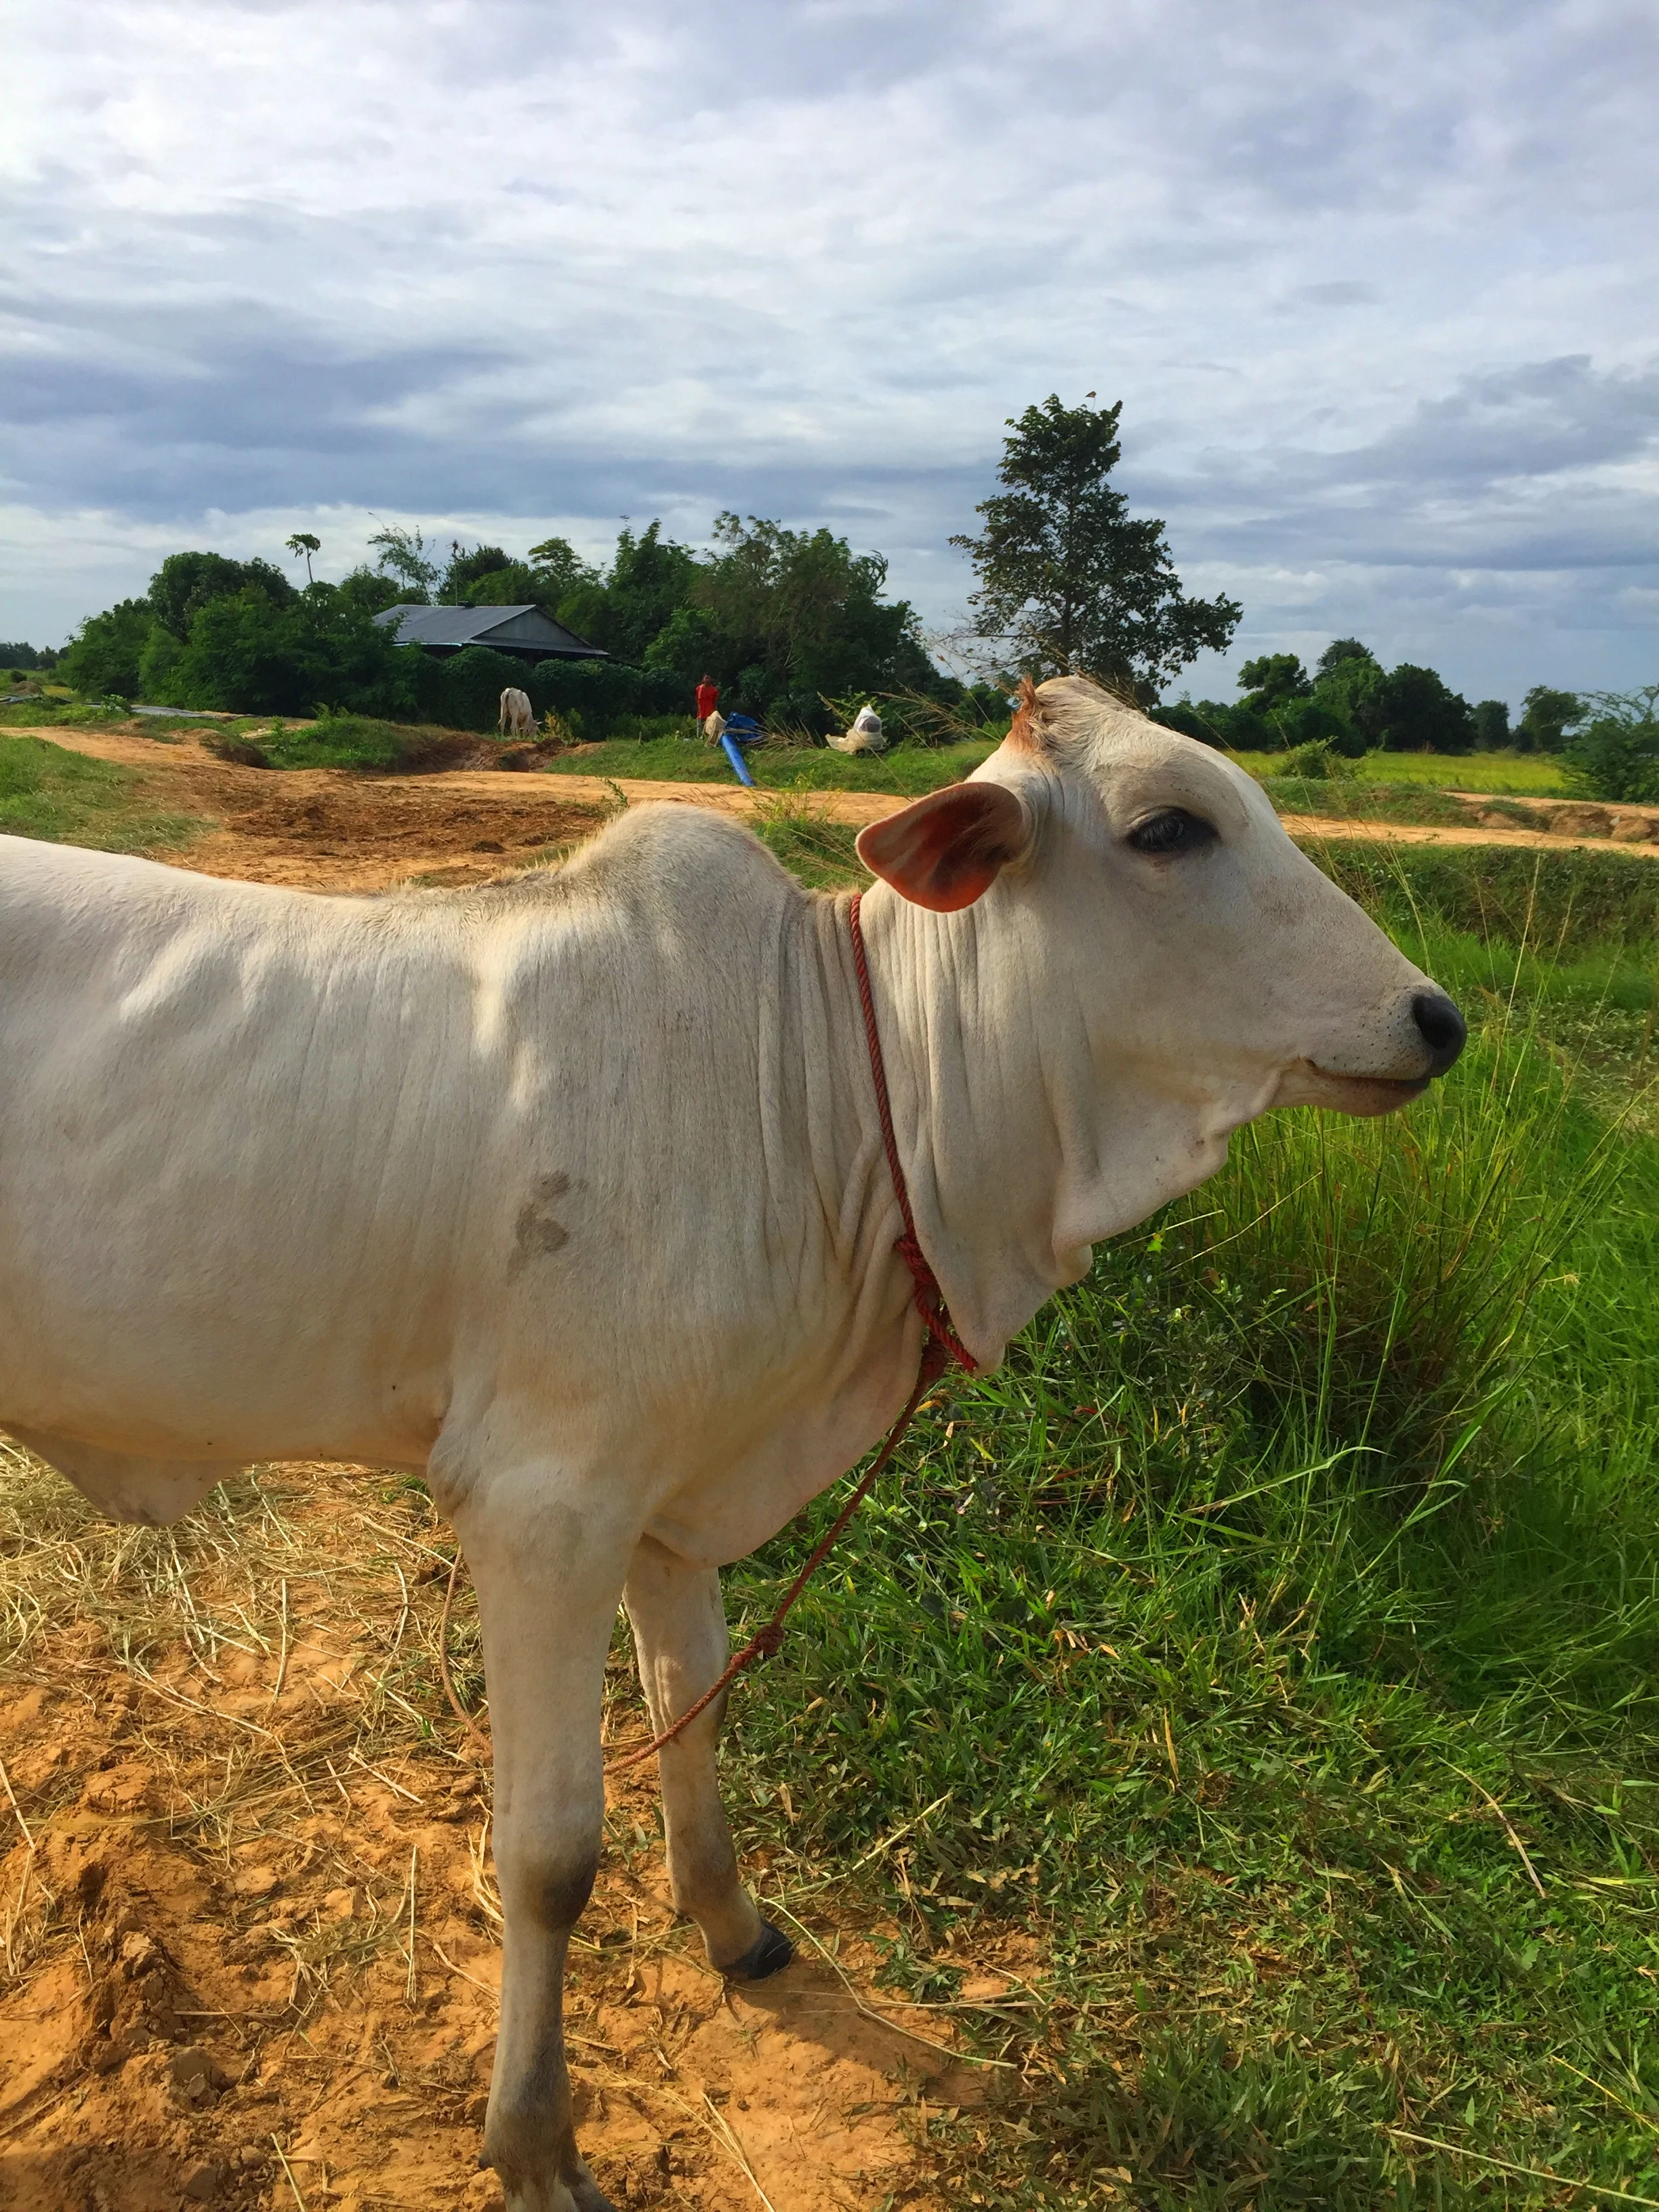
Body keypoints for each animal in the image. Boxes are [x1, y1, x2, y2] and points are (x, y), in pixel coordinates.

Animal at [0, 676, 1469, 2212]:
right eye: (1167, 828)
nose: (1434, 1017)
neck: (829, 1095)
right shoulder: (543, 1507)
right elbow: (550, 1853)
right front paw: (535, 2143)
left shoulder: (673, 1496)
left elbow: (691, 1710)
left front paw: (735, 1923)